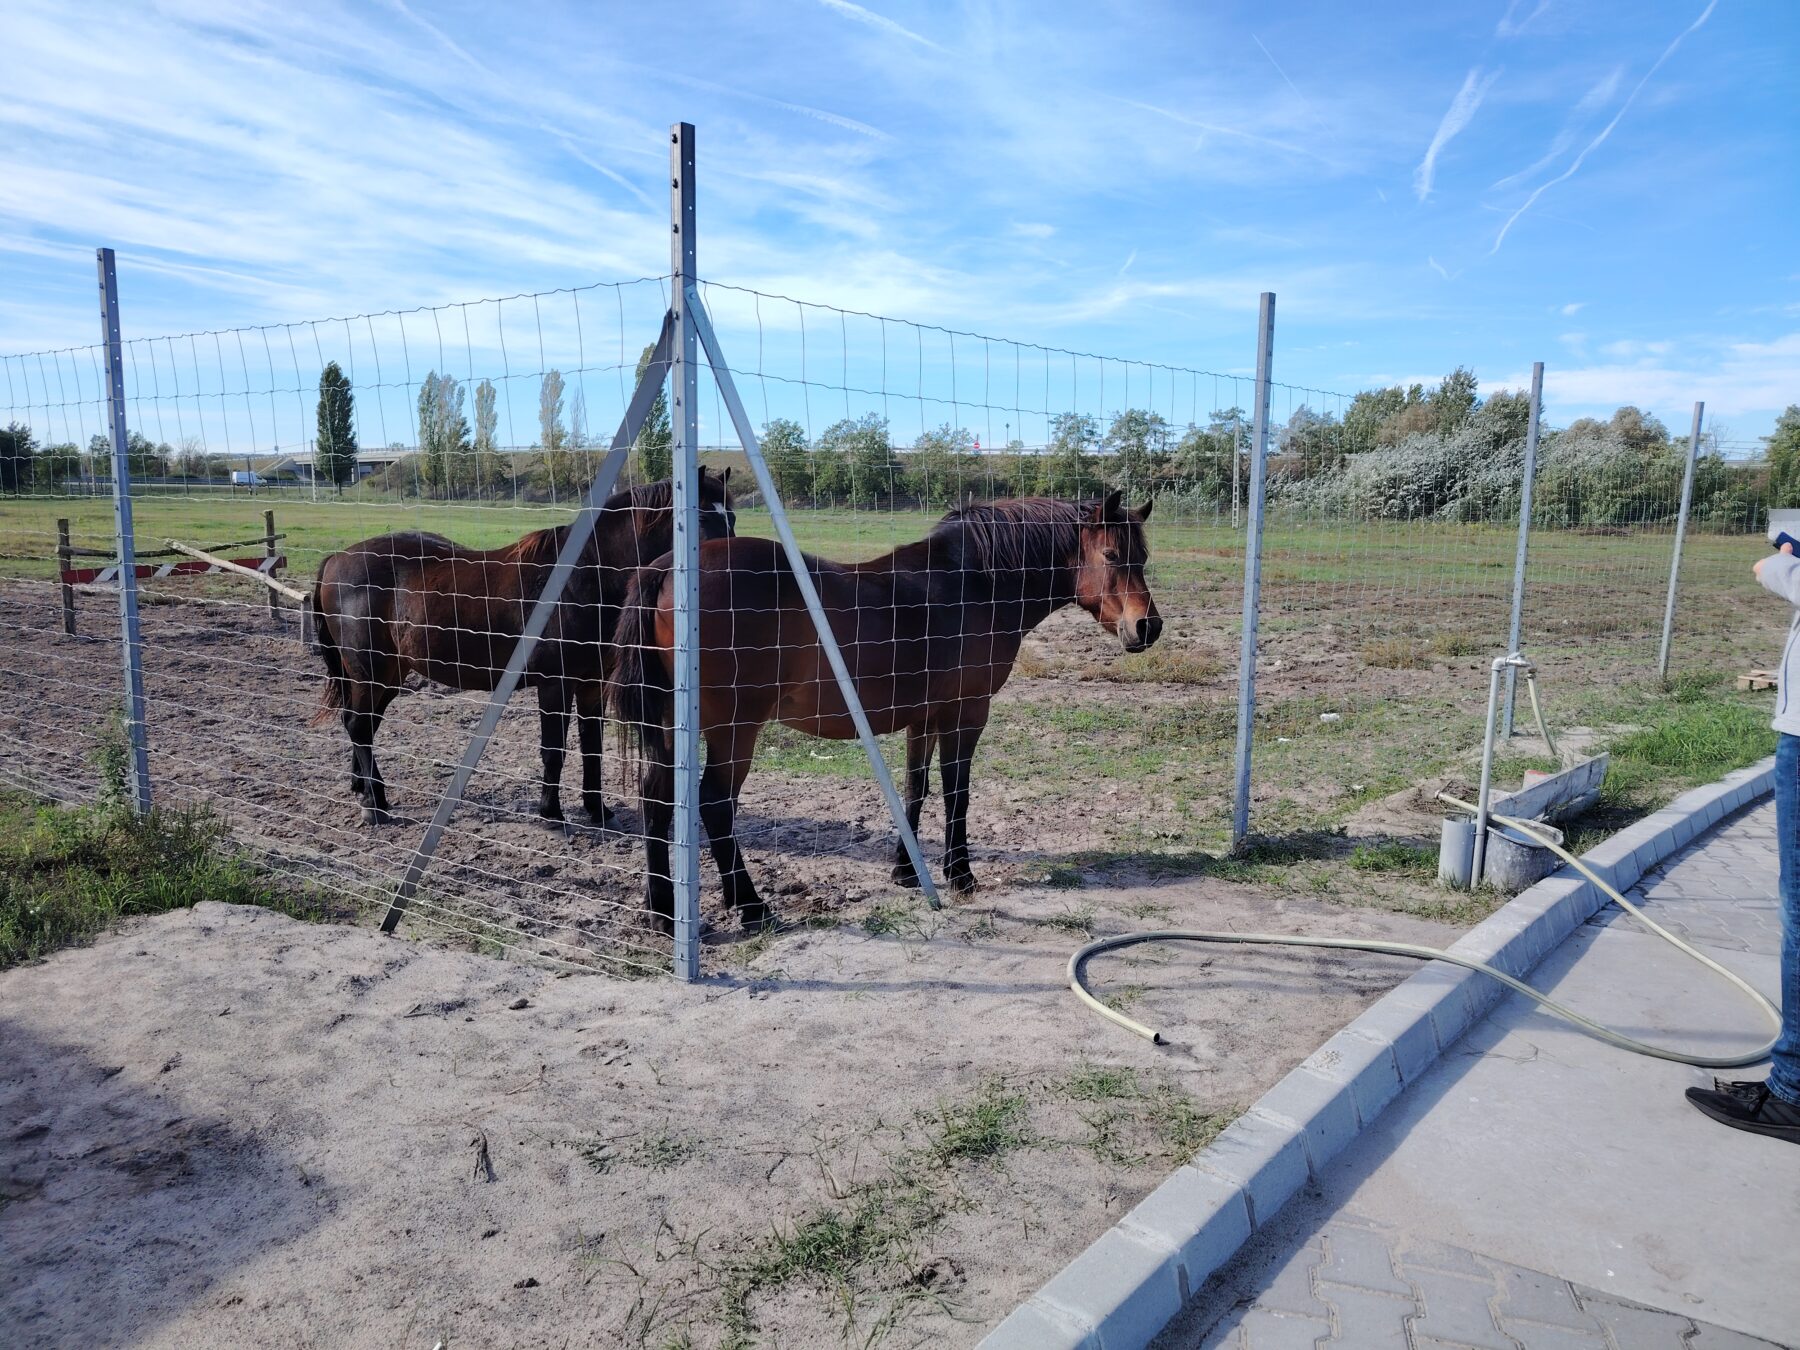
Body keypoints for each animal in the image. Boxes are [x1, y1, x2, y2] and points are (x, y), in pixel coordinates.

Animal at [311, 469, 735, 827]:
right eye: (701, 520)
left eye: (731, 518)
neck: (584, 577)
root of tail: (335, 558)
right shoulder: (554, 685)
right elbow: (554, 750)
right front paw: (552, 814)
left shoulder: (591, 687)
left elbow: (592, 749)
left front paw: (597, 810)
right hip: (373, 673)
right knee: (358, 725)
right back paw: (374, 804)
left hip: (388, 675)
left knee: (361, 724)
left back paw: (362, 788)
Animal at [608, 490, 1161, 933]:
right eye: (1112, 554)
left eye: (1144, 556)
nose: (1147, 627)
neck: (974, 583)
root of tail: (665, 569)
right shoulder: (966, 713)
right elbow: (957, 793)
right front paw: (960, 874)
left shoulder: (924, 716)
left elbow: (916, 787)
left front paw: (905, 871)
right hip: (734, 728)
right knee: (715, 803)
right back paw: (750, 906)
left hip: (673, 724)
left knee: (656, 798)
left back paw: (661, 911)